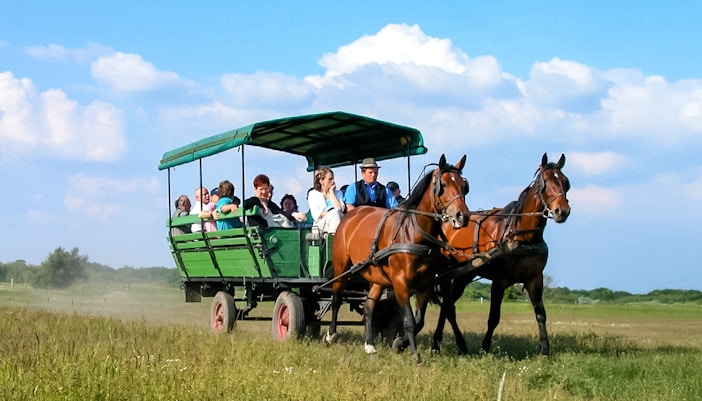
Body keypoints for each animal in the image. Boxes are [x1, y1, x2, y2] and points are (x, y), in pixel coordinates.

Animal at [324, 154, 470, 362]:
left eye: (464, 185)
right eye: (442, 185)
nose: (462, 216)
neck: (413, 233)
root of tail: (351, 216)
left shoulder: (425, 285)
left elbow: (419, 321)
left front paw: (400, 343)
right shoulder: (400, 283)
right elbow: (409, 320)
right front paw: (414, 354)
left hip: (377, 277)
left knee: (368, 308)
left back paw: (369, 345)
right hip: (341, 267)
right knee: (336, 298)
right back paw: (330, 335)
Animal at [431, 153, 570, 356]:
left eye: (566, 182)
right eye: (544, 182)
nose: (562, 211)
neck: (522, 236)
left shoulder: (535, 279)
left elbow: (540, 314)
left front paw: (545, 349)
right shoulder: (499, 281)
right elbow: (494, 317)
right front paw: (485, 347)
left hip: (464, 275)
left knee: (447, 306)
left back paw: (439, 342)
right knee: (448, 306)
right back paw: (440, 343)